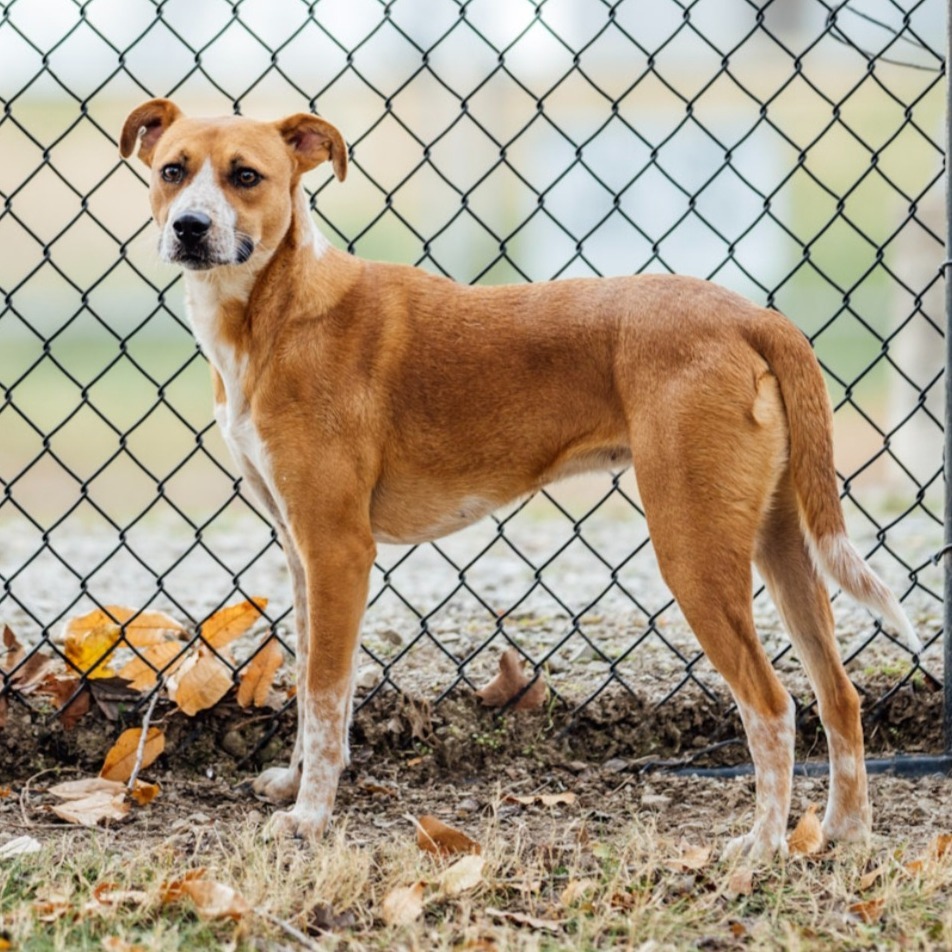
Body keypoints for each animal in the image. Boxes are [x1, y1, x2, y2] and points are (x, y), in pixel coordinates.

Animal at [121, 100, 924, 860]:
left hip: (694, 551)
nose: (190, 228)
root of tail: (753, 315)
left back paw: (761, 846)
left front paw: (311, 817)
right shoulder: (302, 554)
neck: (278, 309)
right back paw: (843, 832)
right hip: (781, 544)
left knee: (773, 706)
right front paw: (294, 786)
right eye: (172, 171)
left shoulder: (338, 549)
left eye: (245, 176)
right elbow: (316, 691)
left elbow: (322, 694)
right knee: (838, 696)